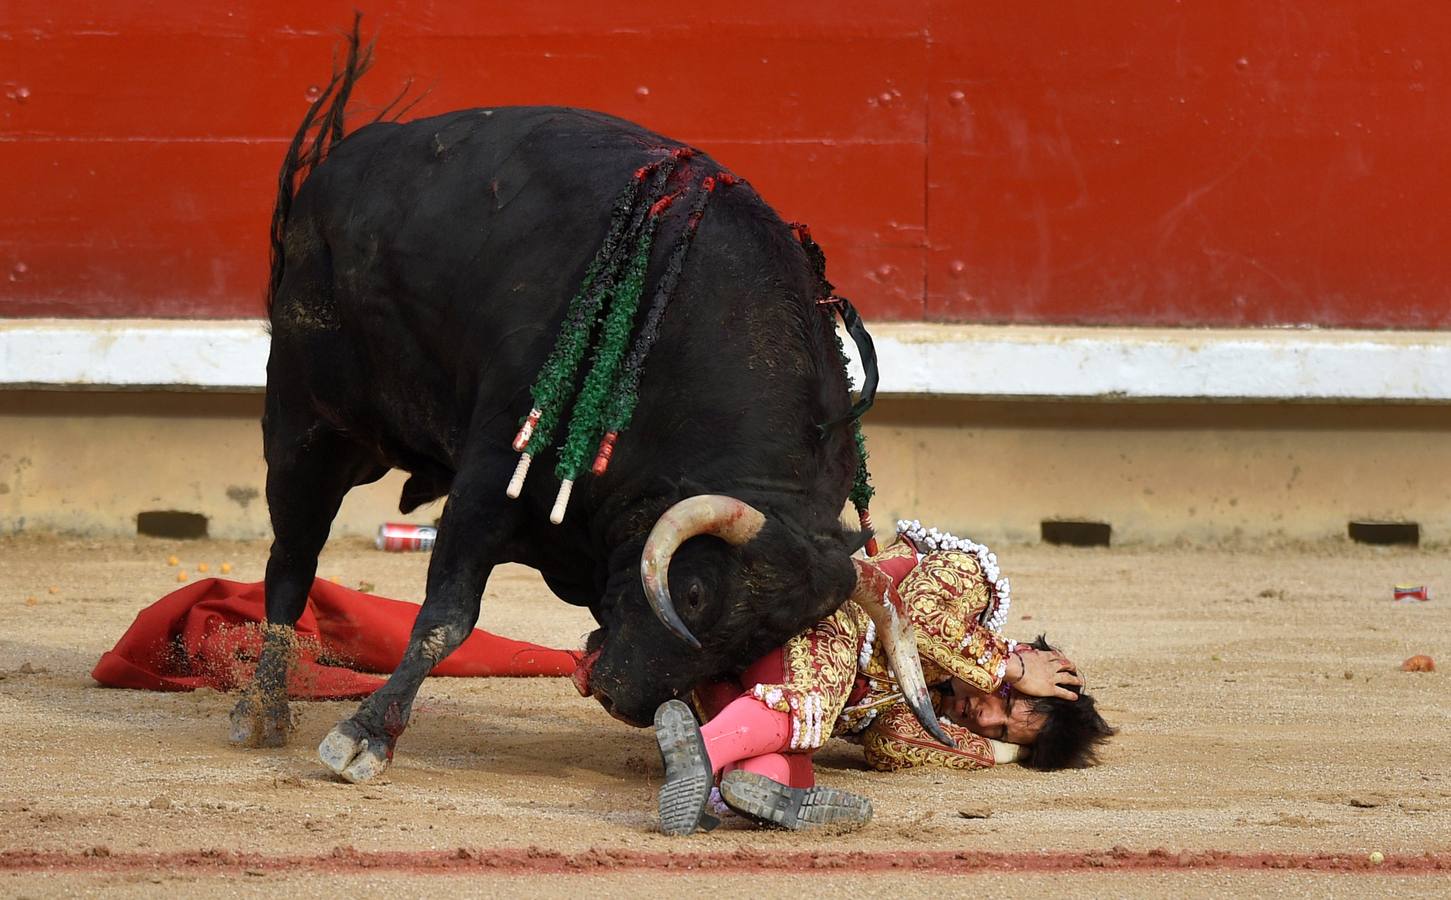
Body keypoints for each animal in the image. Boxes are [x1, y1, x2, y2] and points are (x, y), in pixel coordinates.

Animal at [227, 52, 934, 783]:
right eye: (695, 595)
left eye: (766, 637)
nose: (626, 700)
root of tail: (340, 160)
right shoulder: (494, 471)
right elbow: (448, 615)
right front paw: (365, 735)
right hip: (305, 427)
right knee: (293, 559)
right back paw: (263, 707)